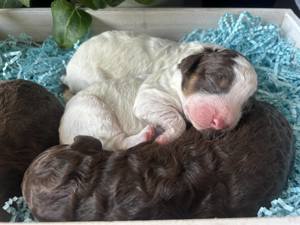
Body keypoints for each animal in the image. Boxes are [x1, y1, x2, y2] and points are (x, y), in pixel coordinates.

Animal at [59, 29, 256, 149]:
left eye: (245, 108)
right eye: (215, 79)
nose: (221, 123)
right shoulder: (153, 94)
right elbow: (177, 120)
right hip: (94, 109)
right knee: (113, 143)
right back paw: (144, 135)